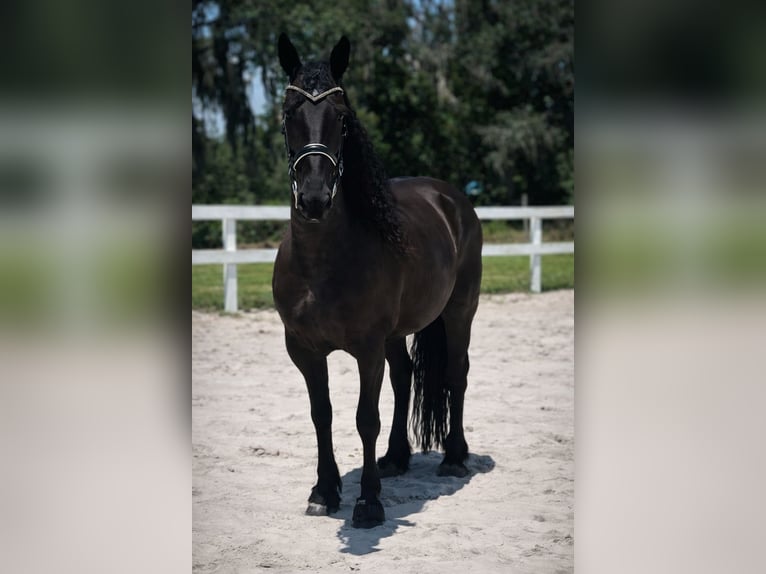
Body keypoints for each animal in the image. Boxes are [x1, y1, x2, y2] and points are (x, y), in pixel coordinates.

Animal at [272, 34, 483, 529]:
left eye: (342, 118)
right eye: (289, 114)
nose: (314, 198)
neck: (321, 266)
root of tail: (451, 198)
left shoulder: (367, 348)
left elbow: (365, 417)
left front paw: (368, 503)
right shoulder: (303, 350)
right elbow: (322, 414)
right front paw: (324, 492)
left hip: (460, 311)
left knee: (456, 373)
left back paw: (454, 458)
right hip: (397, 332)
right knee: (405, 377)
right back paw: (396, 458)